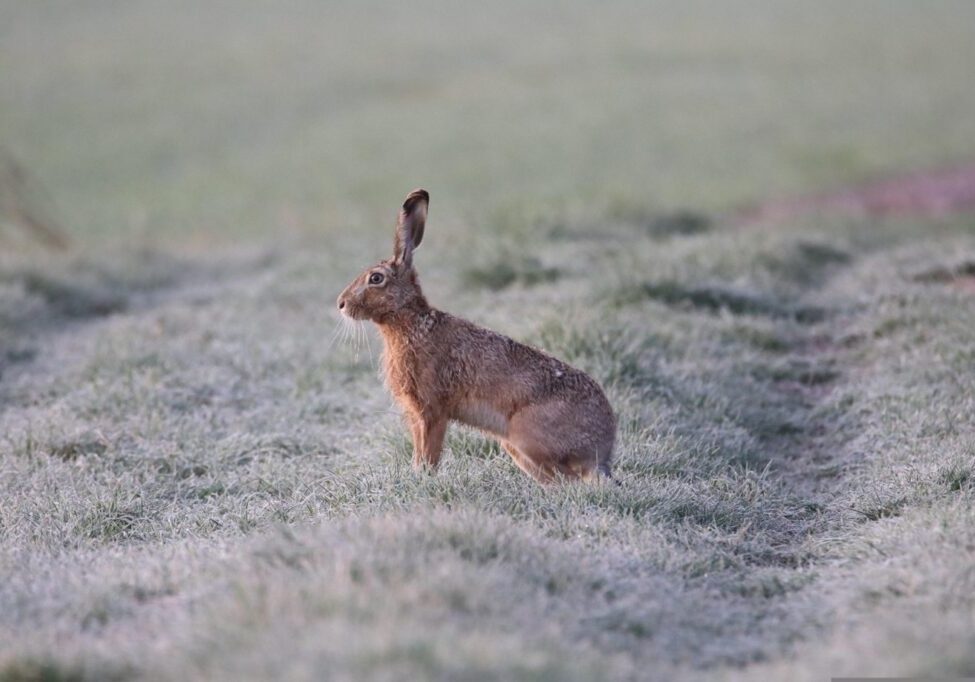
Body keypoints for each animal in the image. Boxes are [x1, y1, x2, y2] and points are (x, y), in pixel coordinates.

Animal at [337, 189, 616, 483]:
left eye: (376, 279)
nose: (341, 304)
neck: (409, 323)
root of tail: (602, 450)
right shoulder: (417, 415)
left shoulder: (432, 410)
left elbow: (428, 453)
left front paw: (424, 478)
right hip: (516, 448)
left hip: (527, 437)